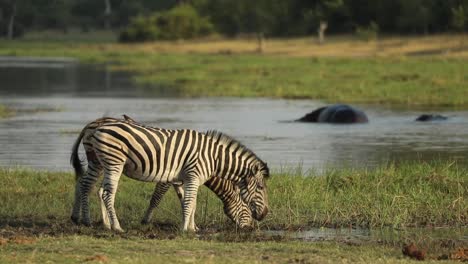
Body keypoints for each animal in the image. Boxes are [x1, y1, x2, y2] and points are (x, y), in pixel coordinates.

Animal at [68, 117, 266, 231]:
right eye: (261, 187)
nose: (260, 219)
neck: (212, 157)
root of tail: (95, 126)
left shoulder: (183, 179)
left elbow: (189, 202)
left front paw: (192, 227)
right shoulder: (178, 177)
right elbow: (170, 199)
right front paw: (184, 229)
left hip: (98, 162)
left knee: (87, 185)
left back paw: (88, 220)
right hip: (113, 162)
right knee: (106, 192)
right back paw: (114, 227)